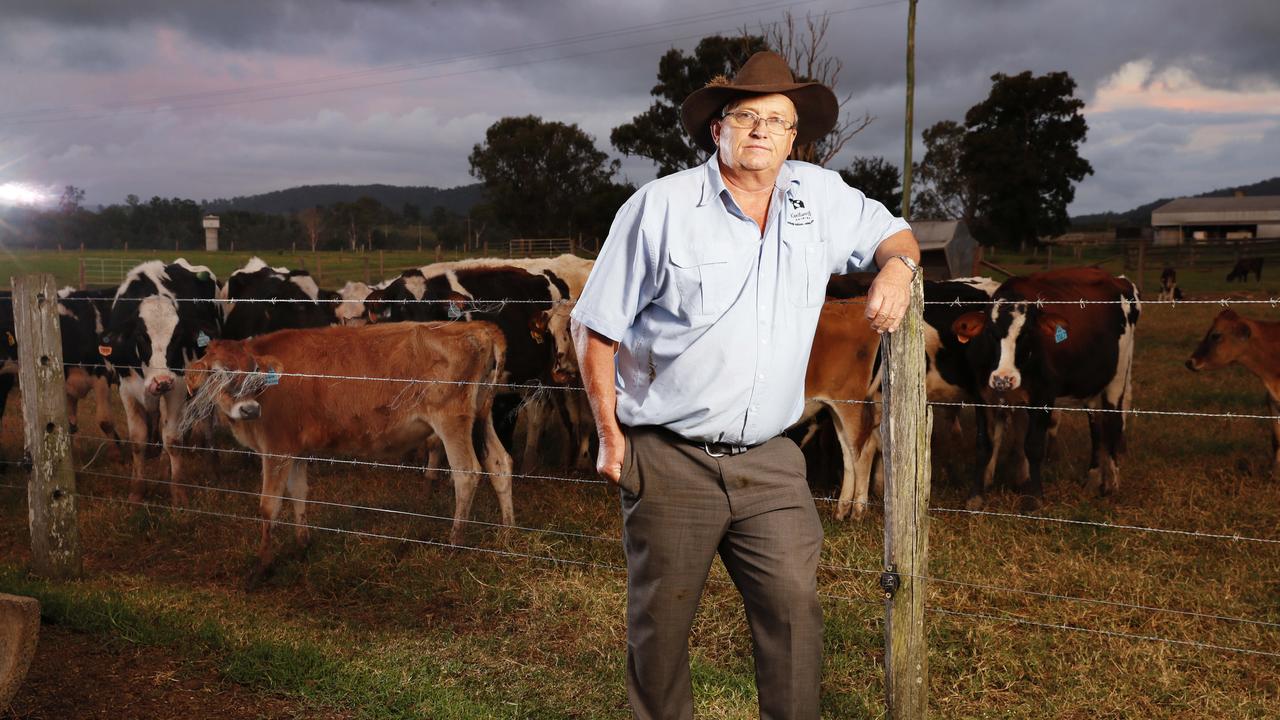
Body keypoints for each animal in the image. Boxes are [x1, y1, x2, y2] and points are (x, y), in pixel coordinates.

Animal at [101, 260, 221, 502]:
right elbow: (138, 440)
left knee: (206, 420)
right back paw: (164, 469)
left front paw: (179, 494)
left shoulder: (177, 387)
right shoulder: (126, 389)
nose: (162, 381)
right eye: (140, 336)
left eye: (178, 336)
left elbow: (173, 440)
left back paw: (212, 467)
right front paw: (137, 491)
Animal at [186, 320, 514, 584]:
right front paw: (302, 545)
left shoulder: (276, 449)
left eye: (254, 372)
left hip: (451, 420)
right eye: (217, 374)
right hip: (482, 415)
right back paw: (507, 532)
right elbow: (299, 493)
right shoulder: (294, 450)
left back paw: (455, 543)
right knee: (500, 464)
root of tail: (478, 328)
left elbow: (269, 506)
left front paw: (262, 567)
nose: (249, 409)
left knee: (467, 473)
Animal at [952, 266, 1141, 507]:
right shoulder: (982, 395)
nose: (1004, 378)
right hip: (1090, 386)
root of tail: (1120, 280)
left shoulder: (1043, 396)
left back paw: (1112, 484)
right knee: (1097, 428)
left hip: (1116, 379)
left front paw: (1034, 497)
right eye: (990, 332)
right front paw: (975, 496)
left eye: (1027, 333)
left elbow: (1033, 446)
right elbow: (984, 445)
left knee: (1113, 423)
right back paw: (1093, 478)